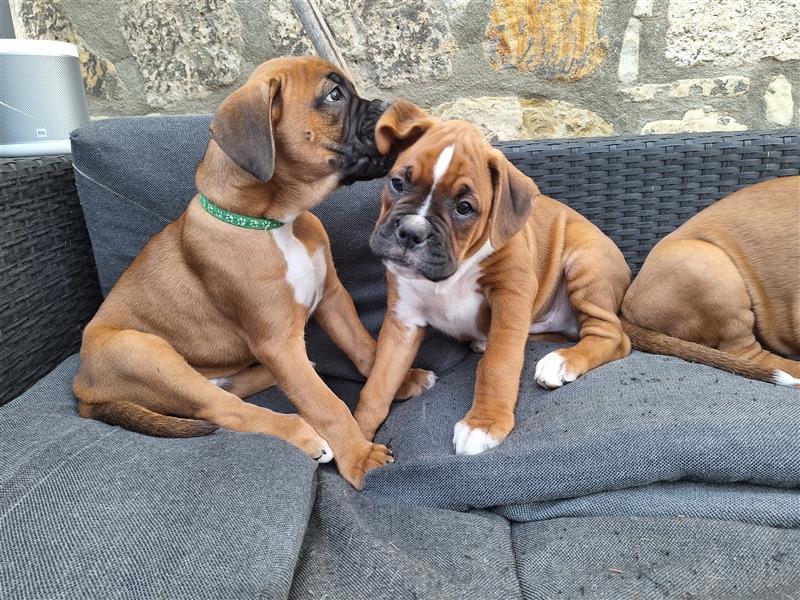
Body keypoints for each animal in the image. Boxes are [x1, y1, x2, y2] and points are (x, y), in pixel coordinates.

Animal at [75, 56, 434, 490]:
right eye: (334, 95)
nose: (387, 107)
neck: (273, 222)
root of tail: (82, 390)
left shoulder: (332, 298)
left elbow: (365, 348)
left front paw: (399, 379)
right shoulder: (278, 342)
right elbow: (326, 403)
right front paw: (359, 456)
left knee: (230, 387)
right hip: (142, 350)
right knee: (224, 408)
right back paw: (302, 433)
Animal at [354, 102, 636, 454]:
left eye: (464, 208)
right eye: (397, 183)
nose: (411, 232)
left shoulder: (511, 294)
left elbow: (499, 363)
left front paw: (484, 423)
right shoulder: (402, 322)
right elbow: (378, 384)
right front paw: (355, 441)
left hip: (585, 262)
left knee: (610, 336)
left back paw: (561, 362)